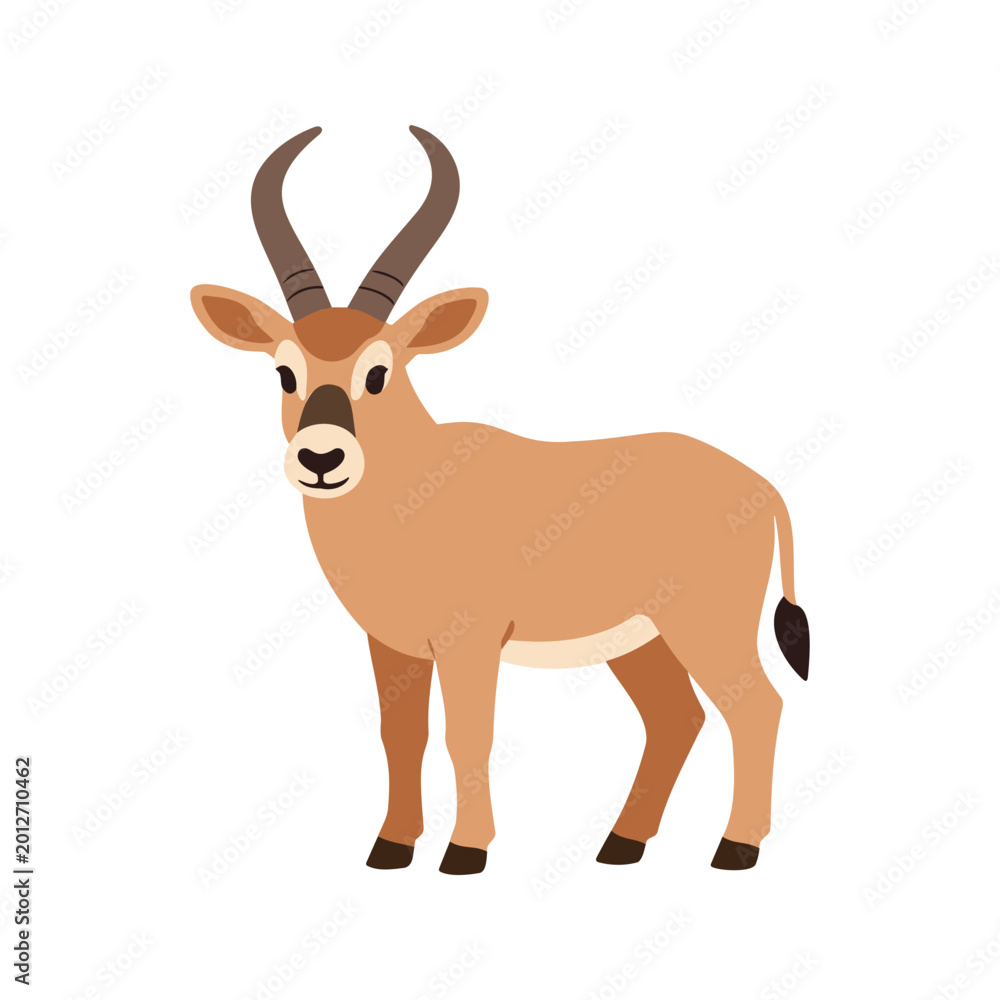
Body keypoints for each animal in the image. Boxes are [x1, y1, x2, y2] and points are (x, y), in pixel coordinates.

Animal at [191, 125, 810, 876]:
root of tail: (762, 487)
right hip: (642, 640)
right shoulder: (394, 646)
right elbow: (402, 735)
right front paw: (391, 847)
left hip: (706, 628)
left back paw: (734, 848)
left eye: (379, 370)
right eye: (285, 370)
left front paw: (465, 851)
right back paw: (621, 845)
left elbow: (468, 733)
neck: (414, 491)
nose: (321, 458)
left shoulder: (471, 642)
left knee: (756, 708)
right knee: (676, 718)